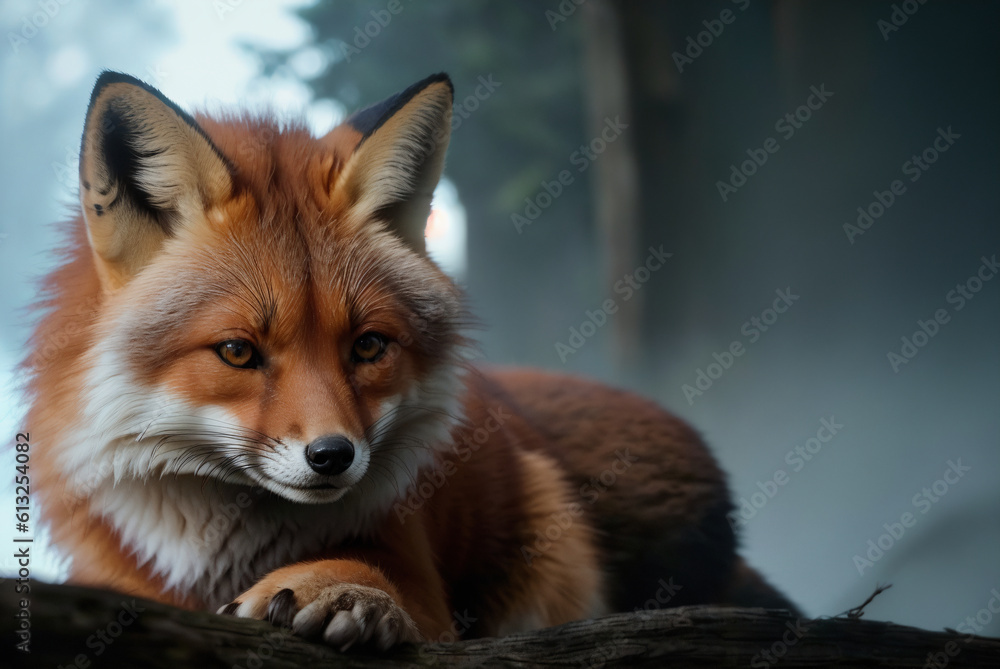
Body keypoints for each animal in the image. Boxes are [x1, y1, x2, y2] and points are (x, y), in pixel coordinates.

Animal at [26, 71, 796, 651]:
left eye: (368, 345)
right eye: (238, 351)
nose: (333, 456)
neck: (223, 550)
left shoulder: (427, 583)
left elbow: (379, 577)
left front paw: (341, 588)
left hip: (555, 522)